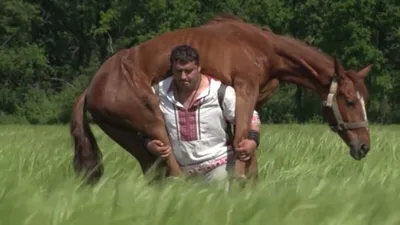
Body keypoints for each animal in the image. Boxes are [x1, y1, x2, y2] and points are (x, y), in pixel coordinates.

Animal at [69, 14, 372, 185]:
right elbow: (239, 143)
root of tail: (91, 89)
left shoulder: (250, 100)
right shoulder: (245, 88)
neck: (262, 47)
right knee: (171, 165)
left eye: (363, 99)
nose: (364, 147)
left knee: (154, 170)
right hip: (151, 118)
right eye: (349, 100)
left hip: (129, 136)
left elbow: (247, 145)